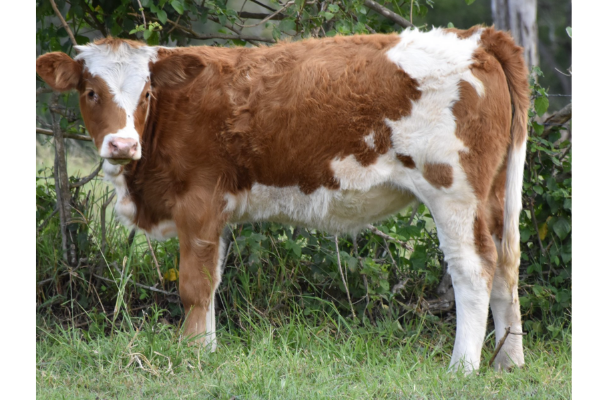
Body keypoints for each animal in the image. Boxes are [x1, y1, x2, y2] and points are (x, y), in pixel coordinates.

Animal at [35, 26, 528, 372]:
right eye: (91, 92)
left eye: (146, 93)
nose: (121, 144)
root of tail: (479, 37)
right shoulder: (217, 212)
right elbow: (212, 281)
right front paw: (207, 351)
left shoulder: (198, 202)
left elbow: (194, 286)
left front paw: (190, 356)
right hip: (495, 195)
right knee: (506, 264)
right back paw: (508, 362)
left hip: (453, 190)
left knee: (474, 267)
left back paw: (463, 367)